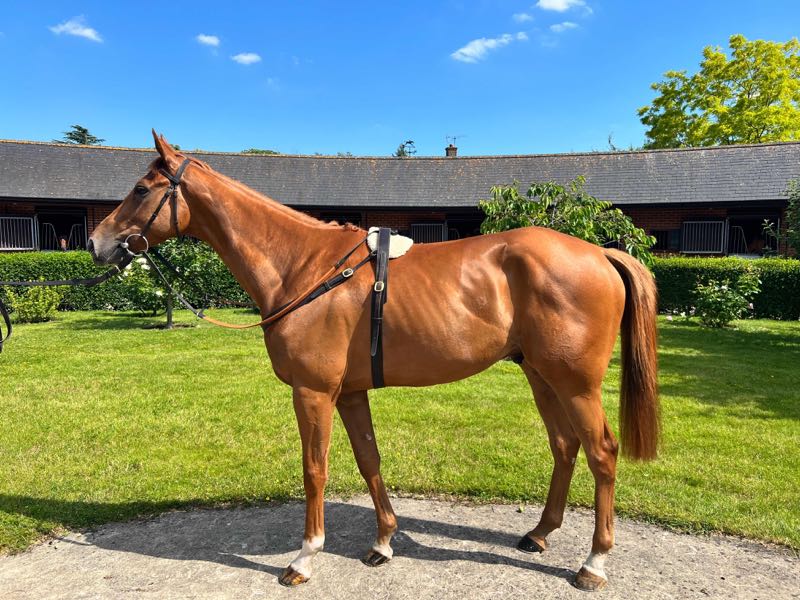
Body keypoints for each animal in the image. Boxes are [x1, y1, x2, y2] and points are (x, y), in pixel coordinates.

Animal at [88, 132, 660, 592]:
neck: (303, 266)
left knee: (601, 453)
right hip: (541, 375)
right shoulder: (350, 392)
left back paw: (593, 564)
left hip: (576, 384)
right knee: (564, 446)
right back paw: (539, 534)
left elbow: (314, 468)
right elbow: (369, 460)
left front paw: (304, 558)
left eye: (141, 189)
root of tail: (599, 252)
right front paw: (383, 542)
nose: (97, 243)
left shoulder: (313, 392)